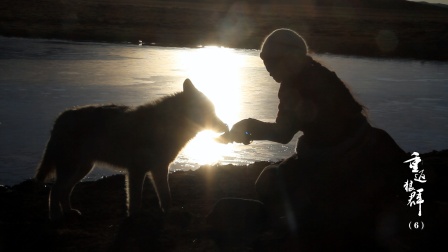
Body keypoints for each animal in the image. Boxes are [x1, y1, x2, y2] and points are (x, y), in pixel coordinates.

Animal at [36, 79, 228, 220]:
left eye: (214, 110)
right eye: (209, 111)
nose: (225, 125)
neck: (167, 126)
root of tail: (60, 117)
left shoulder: (159, 169)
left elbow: (166, 197)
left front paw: (168, 214)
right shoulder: (137, 170)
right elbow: (135, 200)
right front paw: (134, 219)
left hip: (82, 169)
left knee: (64, 191)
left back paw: (69, 212)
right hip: (72, 169)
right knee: (54, 191)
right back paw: (55, 216)